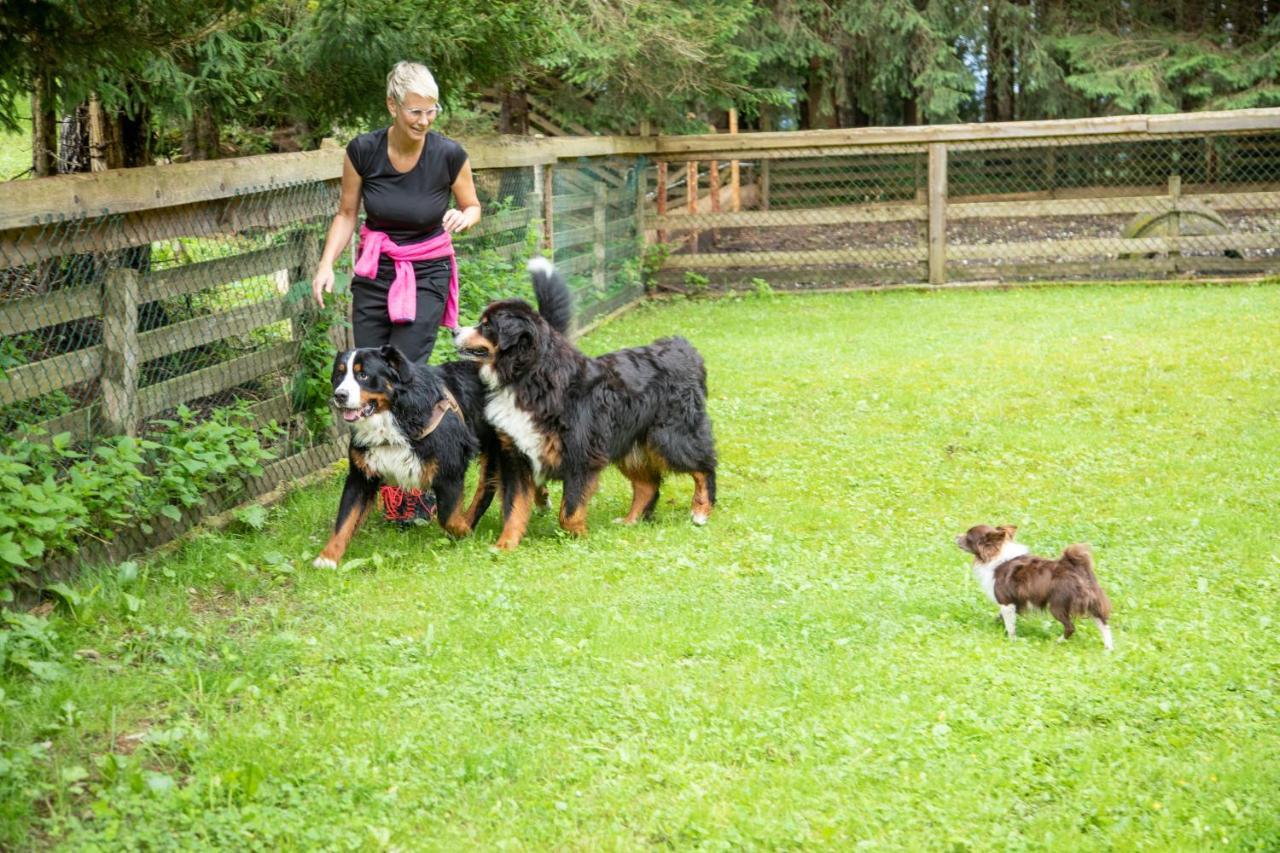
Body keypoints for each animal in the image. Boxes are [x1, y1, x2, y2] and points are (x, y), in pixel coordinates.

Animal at [453, 256, 716, 548]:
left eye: (486, 325)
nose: (454, 330)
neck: (526, 379)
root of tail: (684, 350)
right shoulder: (515, 457)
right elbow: (514, 508)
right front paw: (505, 546)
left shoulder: (581, 453)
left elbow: (569, 510)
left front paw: (579, 536)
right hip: (629, 443)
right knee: (648, 485)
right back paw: (630, 521)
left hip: (671, 437)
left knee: (705, 468)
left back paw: (701, 511)